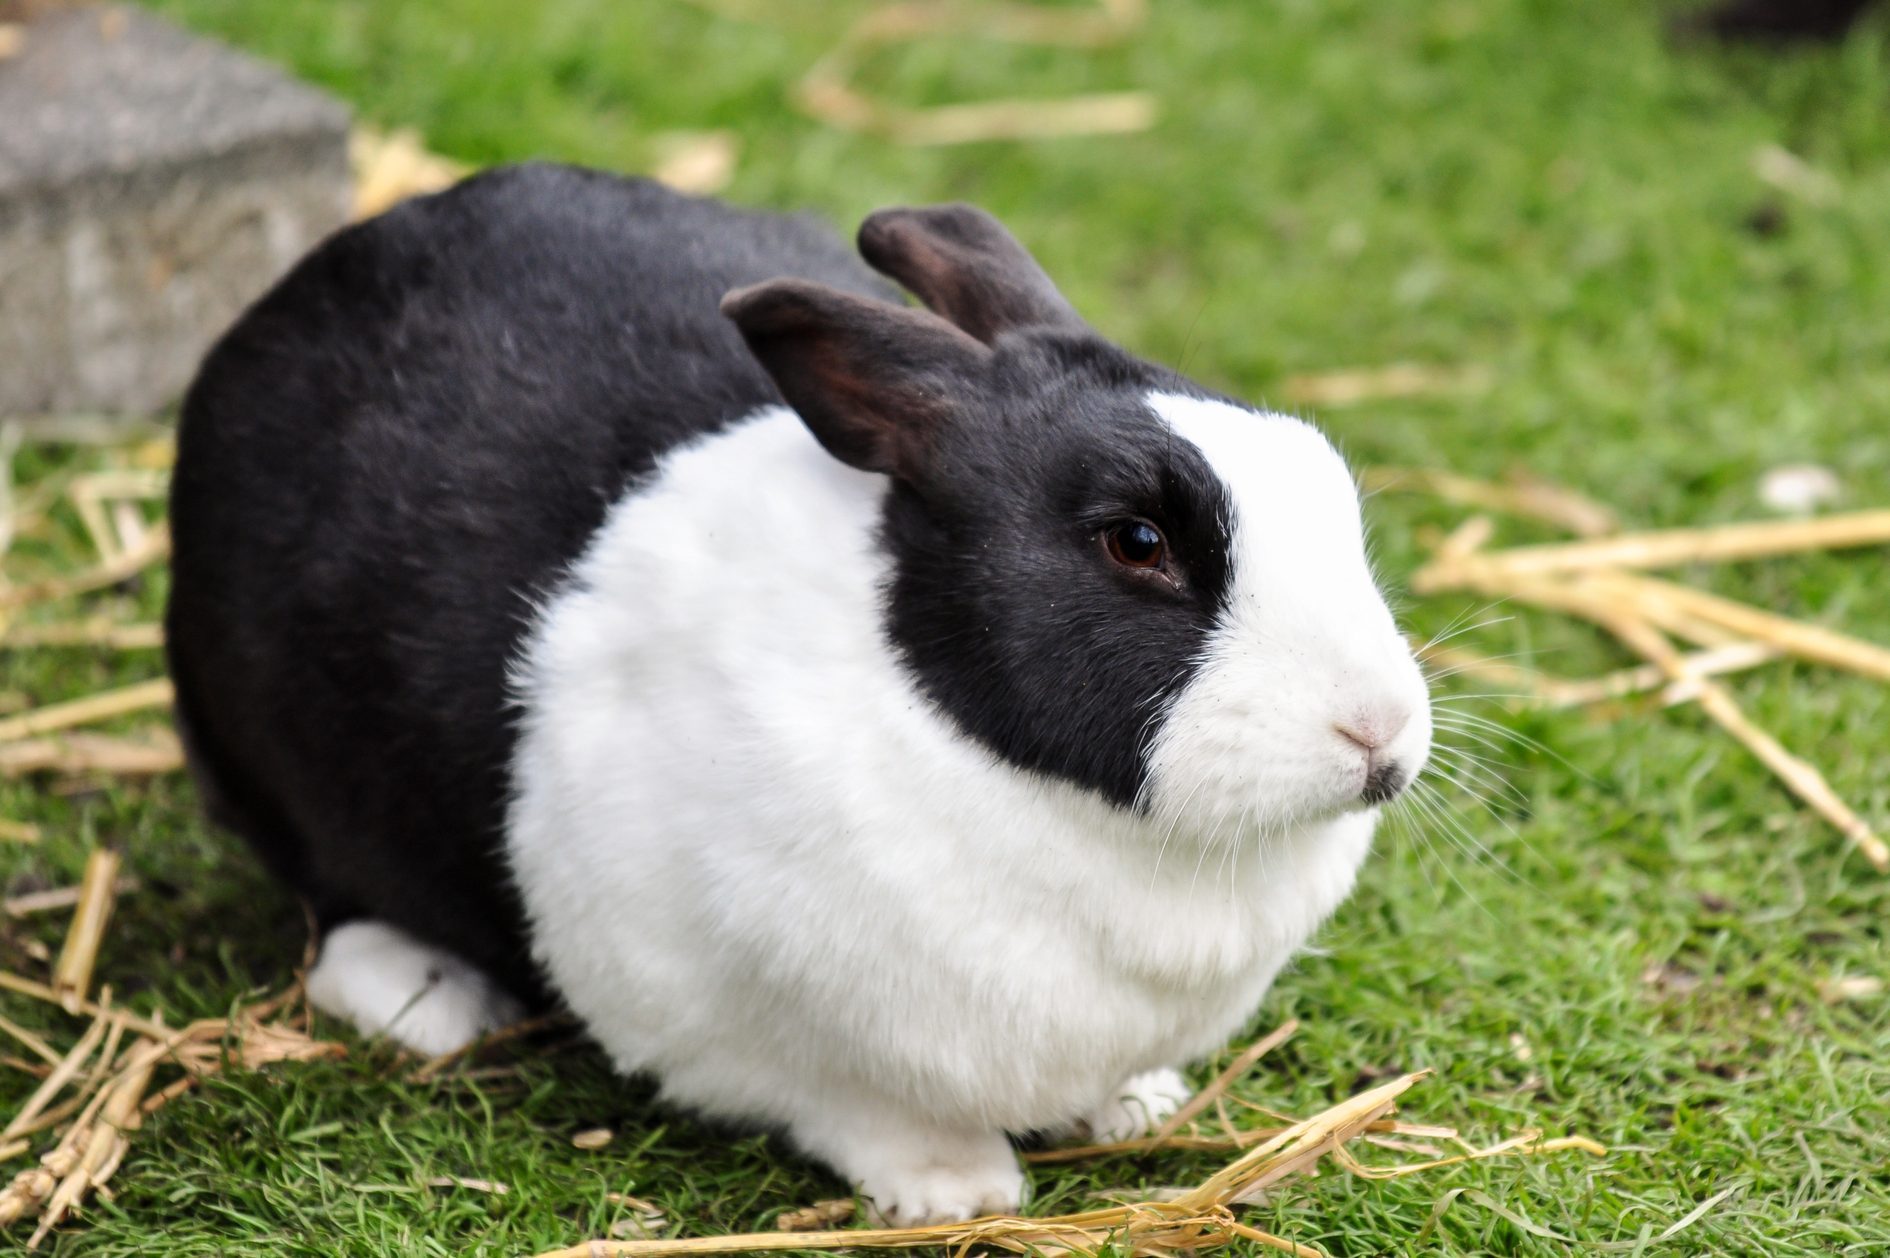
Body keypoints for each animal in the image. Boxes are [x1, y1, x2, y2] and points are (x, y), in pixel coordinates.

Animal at [165, 162, 1432, 1226]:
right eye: (1138, 542)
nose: (1379, 731)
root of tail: (273, 314)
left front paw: (1136, 1104)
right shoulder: (744, 1030)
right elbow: (854, 1109)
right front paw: (956, 1190)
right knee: (332, 902)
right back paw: (426, 996)